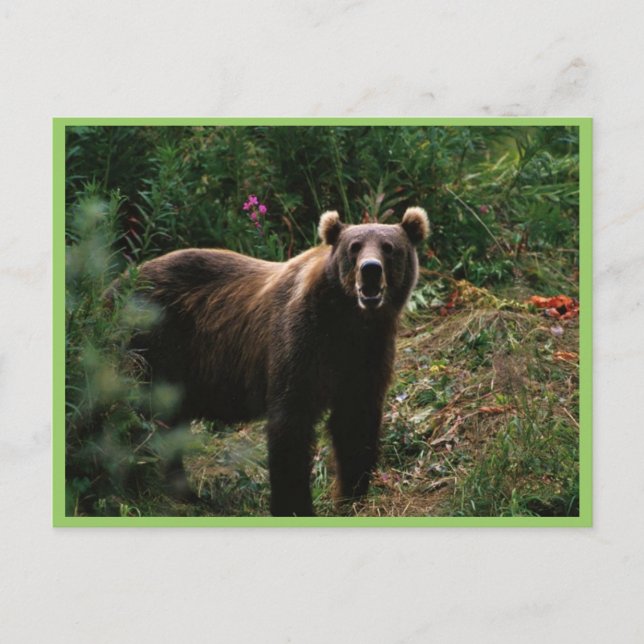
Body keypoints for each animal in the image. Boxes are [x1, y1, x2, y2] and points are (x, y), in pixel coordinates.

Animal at [130, 206, 429, 516]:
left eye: (389, 247)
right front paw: (295, 505)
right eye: (354, 247)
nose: (370, 269)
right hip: (154, 344)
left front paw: (350, 496)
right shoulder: (300, 343)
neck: (348, 321)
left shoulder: (367, 355)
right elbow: (291, 423)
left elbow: (355, 422)